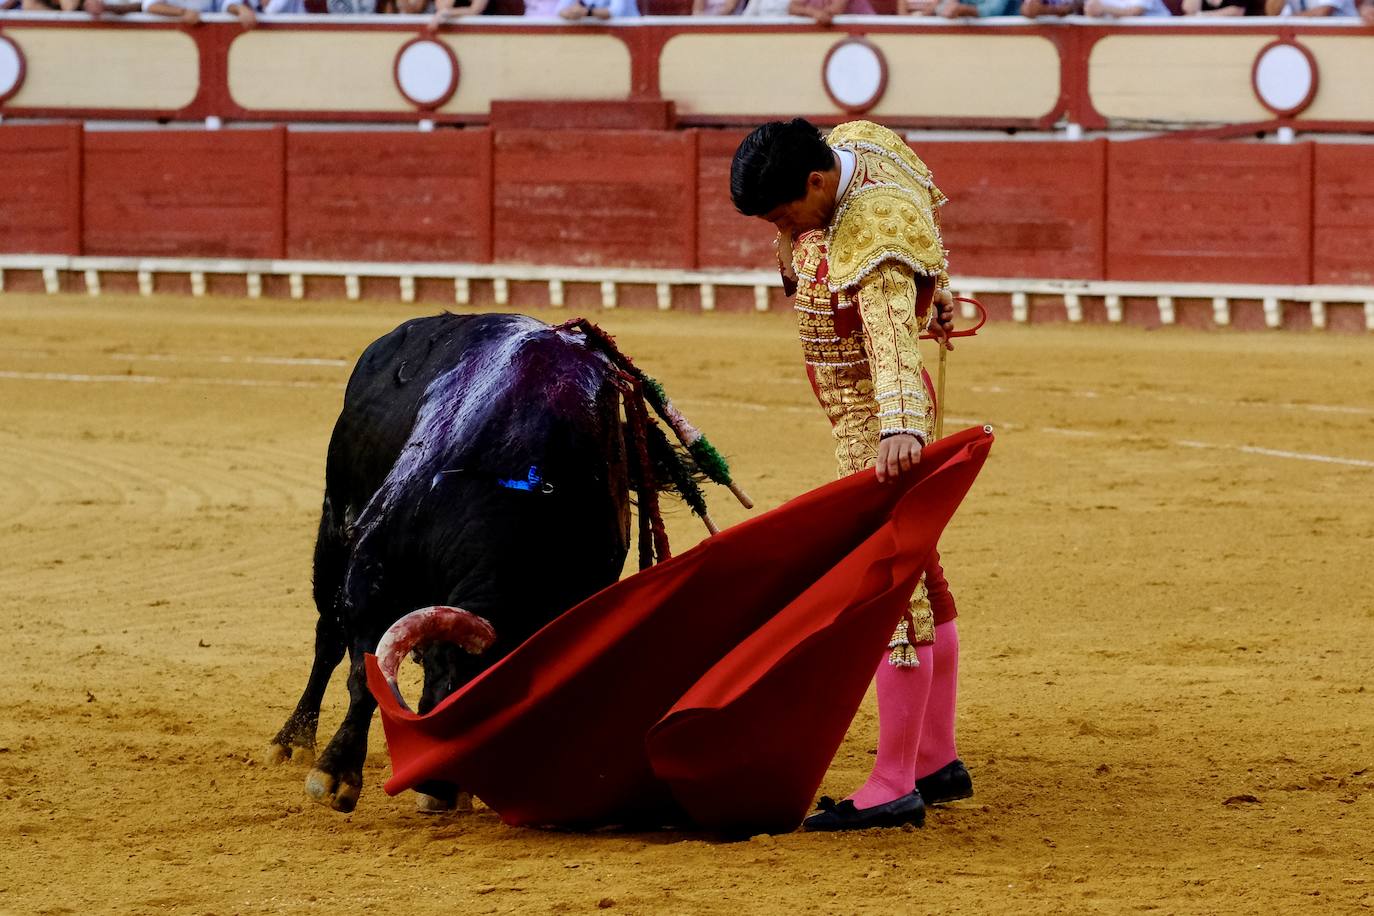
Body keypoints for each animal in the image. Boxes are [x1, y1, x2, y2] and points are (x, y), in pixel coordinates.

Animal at [269, 311, 648, 813]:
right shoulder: (372, 570)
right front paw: (335, 774)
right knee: (328, 638)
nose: (439, 789)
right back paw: (293, 741)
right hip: (334, 523)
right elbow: (364, 675)